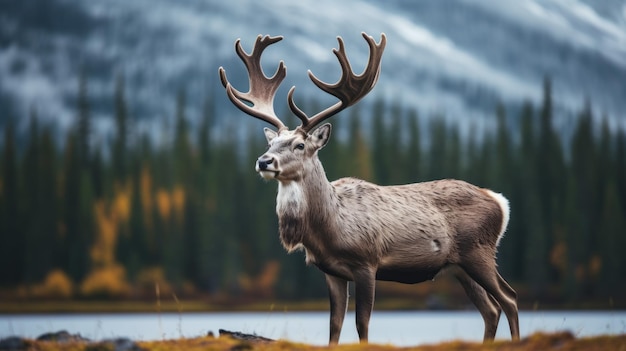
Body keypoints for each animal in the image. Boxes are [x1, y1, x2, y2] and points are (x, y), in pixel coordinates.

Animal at [217, 33, 520, 346]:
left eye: (299, 145)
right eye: (271, 143)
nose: (264, 161)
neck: (329, 228)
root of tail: (499, 201)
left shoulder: (367, 262)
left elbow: (362, 323)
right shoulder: (331, 273)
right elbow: (335, 325)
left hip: (479, 251)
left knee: (509, 298)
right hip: (460, 266)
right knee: (491, 309)